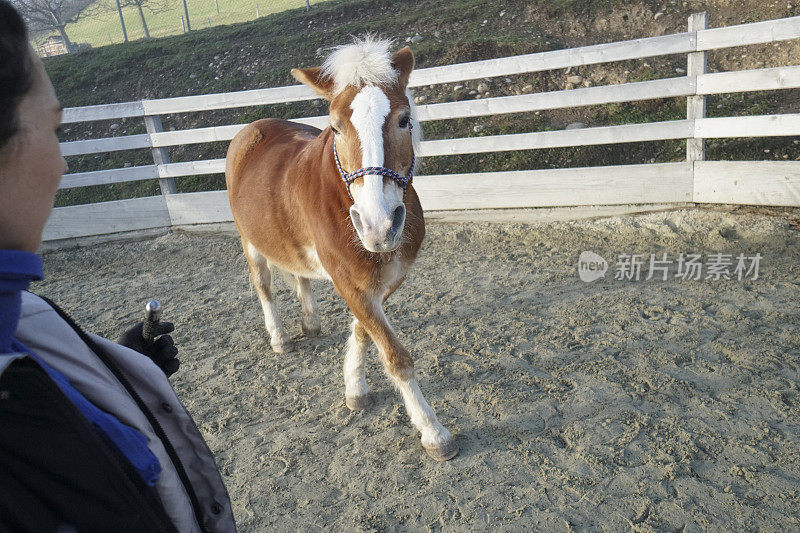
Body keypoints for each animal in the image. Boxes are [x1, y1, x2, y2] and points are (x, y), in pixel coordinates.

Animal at [228, 38, 460, 462]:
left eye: (404, 120)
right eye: (335, 126)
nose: (378, 225)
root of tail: (252, 128)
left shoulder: (383, 279)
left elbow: (363, 330)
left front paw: (355, 388)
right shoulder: (348, 280)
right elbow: (395, 356)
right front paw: (434, 432)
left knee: (297, 275)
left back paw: (311, 323)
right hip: (249, 241)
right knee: (264, 286)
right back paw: (279, 338)